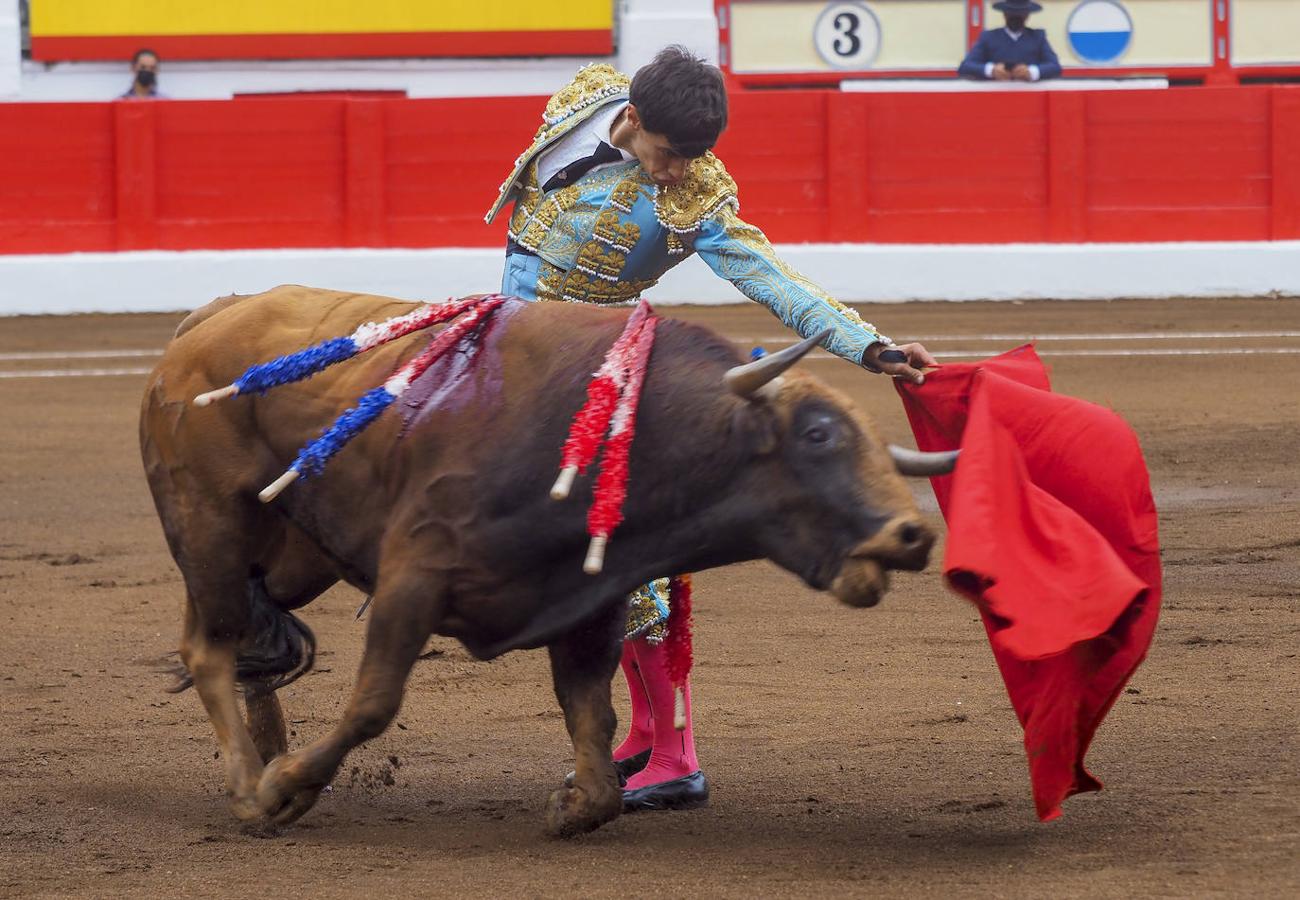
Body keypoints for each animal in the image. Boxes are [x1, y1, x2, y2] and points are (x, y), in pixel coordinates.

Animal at [139, 286, 956, 837]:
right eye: (818, 434)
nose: (913, 535)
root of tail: (208, 319)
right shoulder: (414, 577)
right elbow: (373, 703)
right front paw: (287, 789)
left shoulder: (587, 600)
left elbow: (592, 713)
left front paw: (574, 805)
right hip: (213, 525)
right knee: (212, 647)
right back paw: (251, 786)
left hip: (295, 554)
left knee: (248, 641)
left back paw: (265, 751)